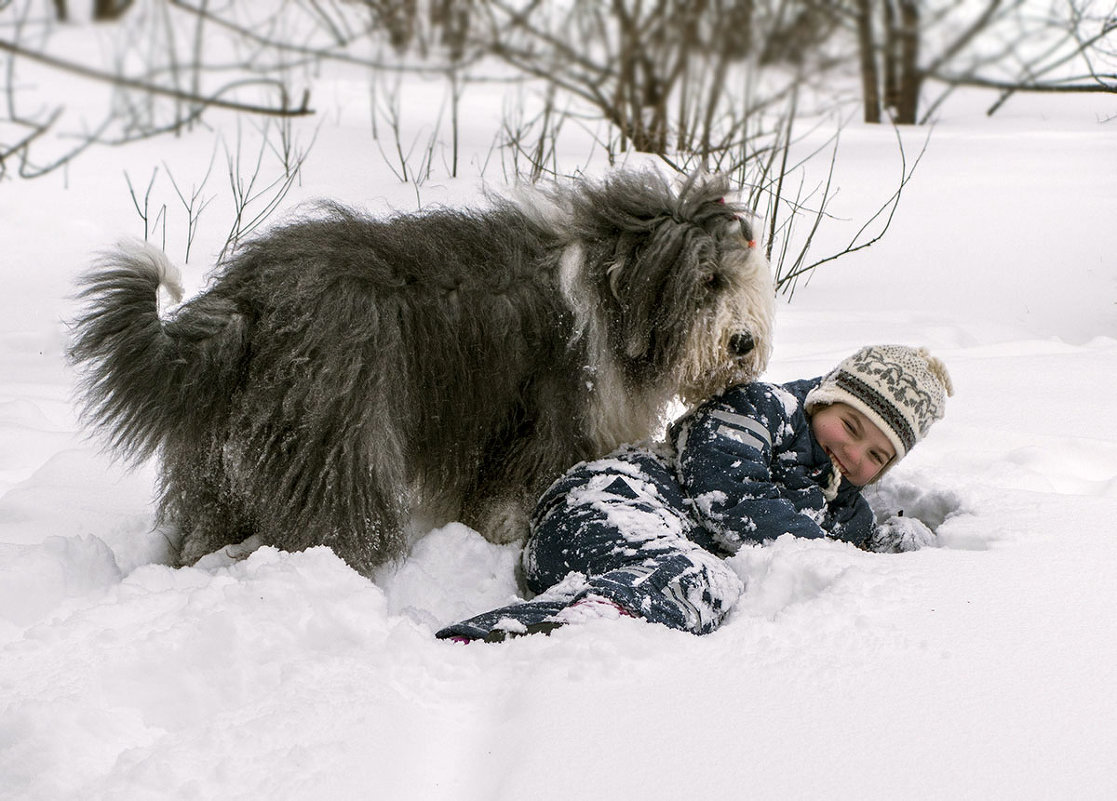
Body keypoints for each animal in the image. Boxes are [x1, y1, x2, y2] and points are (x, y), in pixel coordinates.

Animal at [65, 169, 772, 576]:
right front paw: (505, 536)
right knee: (335, 525)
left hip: (225, 448)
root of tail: (250, 299)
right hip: (340, 437)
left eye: (742, 278)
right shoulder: (547, 419)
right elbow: (514, 493)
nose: (743, 343)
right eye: (710, 280)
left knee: (209, 524)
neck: (613, 289)